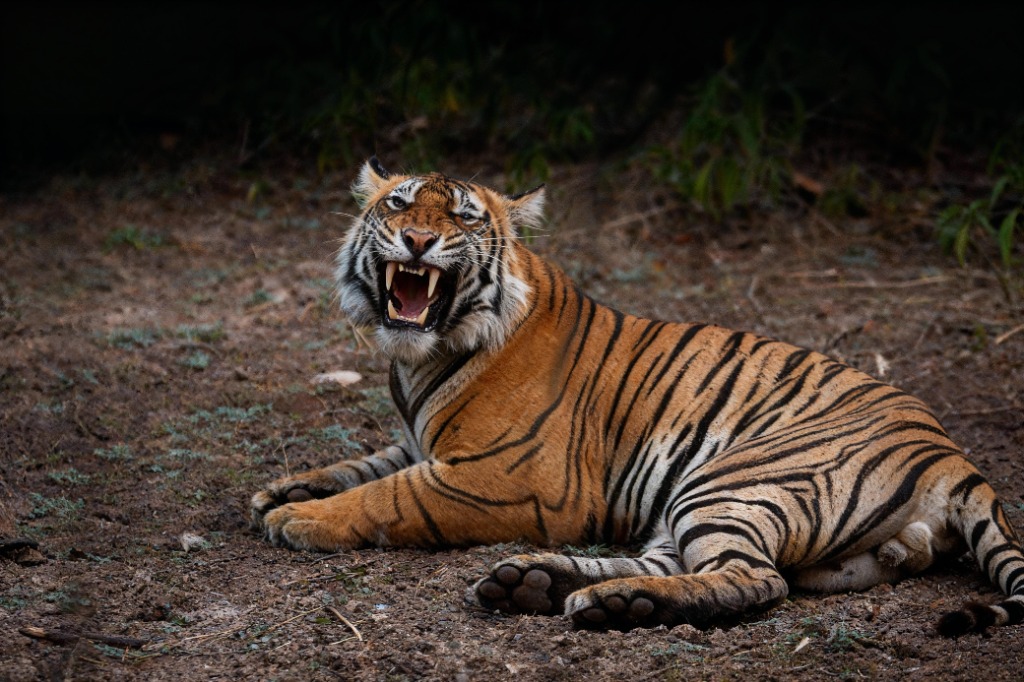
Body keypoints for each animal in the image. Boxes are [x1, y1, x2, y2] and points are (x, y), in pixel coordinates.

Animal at [251, 158, 1024, 635]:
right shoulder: (424, 441)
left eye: (465, 218)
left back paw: (583, 596)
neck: (421, 359)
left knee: (754, 579)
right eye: (400, 203)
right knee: (680, 564)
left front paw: (301, 519)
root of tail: (954, 456)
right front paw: (283, 491)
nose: (415, 239)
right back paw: (547, 588)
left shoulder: (507, 477)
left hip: (734, 479)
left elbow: (392, 493)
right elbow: (370, 462)